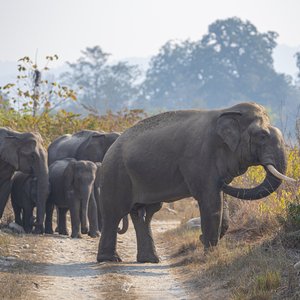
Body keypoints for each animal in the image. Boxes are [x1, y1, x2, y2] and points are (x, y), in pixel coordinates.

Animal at [96, 101, 296, 262]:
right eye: (262, 136)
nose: (200, 238)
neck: (227, 111)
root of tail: (111, 147)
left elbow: (219, 200)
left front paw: (206, 242)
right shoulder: (200, 157)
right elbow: (210, 200)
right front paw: (209, 254)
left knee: (145, 213)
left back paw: (150, 260)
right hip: (115, 173)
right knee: (114, 212)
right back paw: (110, 259)